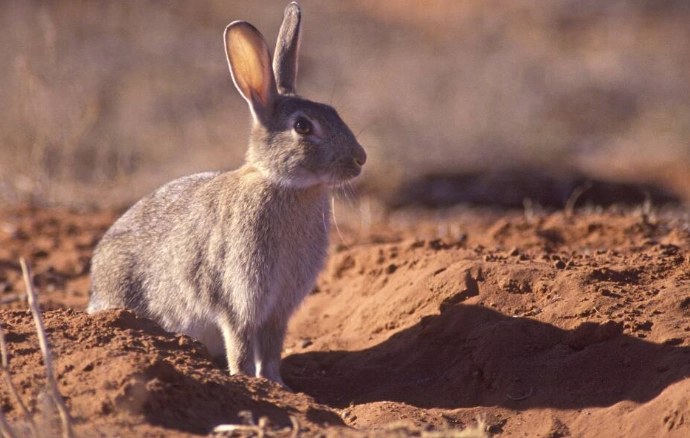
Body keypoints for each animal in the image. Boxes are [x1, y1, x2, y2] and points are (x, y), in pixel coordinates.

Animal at [88, 2, 366, 387]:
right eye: (302, 126)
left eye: (334, 112)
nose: (360, 159)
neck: (282, 184)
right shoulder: (237, 298)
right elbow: (241, 344)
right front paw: (249, 381)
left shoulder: (278, 309)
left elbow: (272, 349)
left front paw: (278, 385)